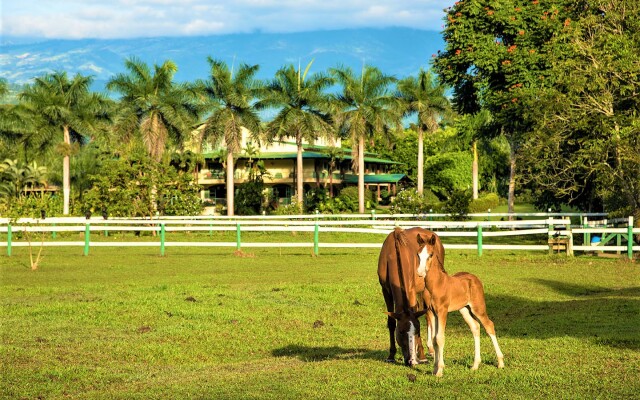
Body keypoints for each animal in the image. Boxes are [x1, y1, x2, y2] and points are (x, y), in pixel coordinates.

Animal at [378, 228, 442, 366]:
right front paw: (391, 355)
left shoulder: (411, 291)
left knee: (429, 316)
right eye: (401, 331)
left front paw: (421, 356)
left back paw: (430, 349)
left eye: (417, 331)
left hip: (426, 291)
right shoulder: (386, 291)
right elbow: (391, 322)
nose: (411, 361)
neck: (394, 253)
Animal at [416, 230, 504, 376]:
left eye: (431, 254)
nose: (420, 273)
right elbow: (434, 339)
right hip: (465, 309)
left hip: (478, 308)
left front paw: (440, 370)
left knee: (489, 326)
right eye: (418, 254)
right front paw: (434, 369)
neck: (435, 284)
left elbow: (440, 338)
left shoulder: (442, 311)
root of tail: (474, 278)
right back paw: (475, 365)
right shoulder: (431, 312)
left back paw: (500, 362)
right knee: (475, 327)